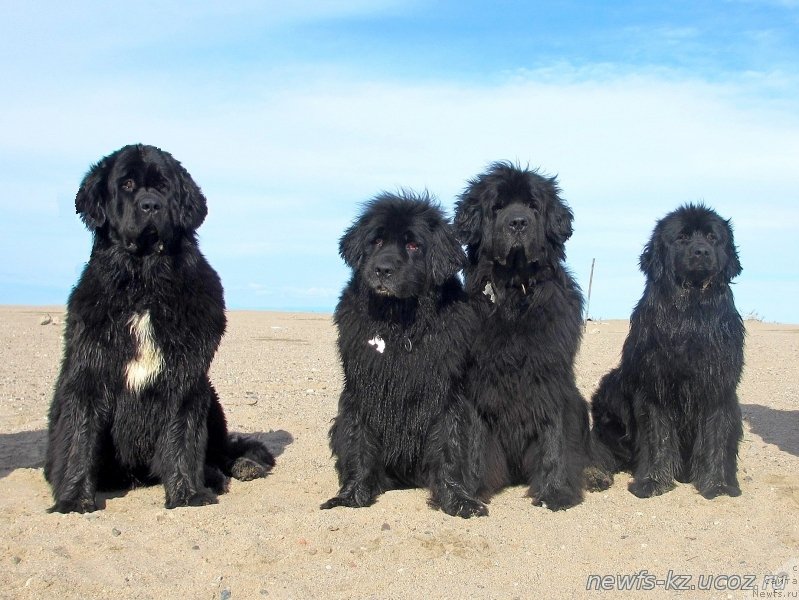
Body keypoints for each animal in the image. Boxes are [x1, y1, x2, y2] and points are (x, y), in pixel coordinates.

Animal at [44, 144, 276, 510]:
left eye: (164, 187)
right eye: (126, 184)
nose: (151, 205)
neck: (144, 283)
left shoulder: (186, 374)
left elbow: (183, 436)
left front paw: (188, 494)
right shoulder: (89, 371)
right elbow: (81, 435)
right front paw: (73, 498)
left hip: (211, 397)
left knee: (223, 450)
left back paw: (237, 467)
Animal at [320, 191, 484, 516]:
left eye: (413, 245)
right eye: (376, 241)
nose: (383, 269)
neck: (399, 324)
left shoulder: (448, 396)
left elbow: (450, 445)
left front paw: (458, 500)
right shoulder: (361, 391)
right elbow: (358, 443)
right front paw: (351, 495)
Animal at [454, 161, 604, 510]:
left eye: (533, 206)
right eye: (497, 207)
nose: (519, 222)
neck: (513, 291)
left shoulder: (551, 375)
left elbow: (555, 437)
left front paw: (556, 491)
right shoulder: (475, 384)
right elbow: (474, 439)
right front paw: (469, 492)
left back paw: (595, 474)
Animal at [592, 204, 748, 500]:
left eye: (712, 238)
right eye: (682, 238)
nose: (701, 252)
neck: (690, 313)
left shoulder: (719, 384)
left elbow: (718, 433)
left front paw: (719, 485)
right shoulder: (654, 385)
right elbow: (657, 436)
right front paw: (653, 482)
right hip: (610, 387)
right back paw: (596, 474)